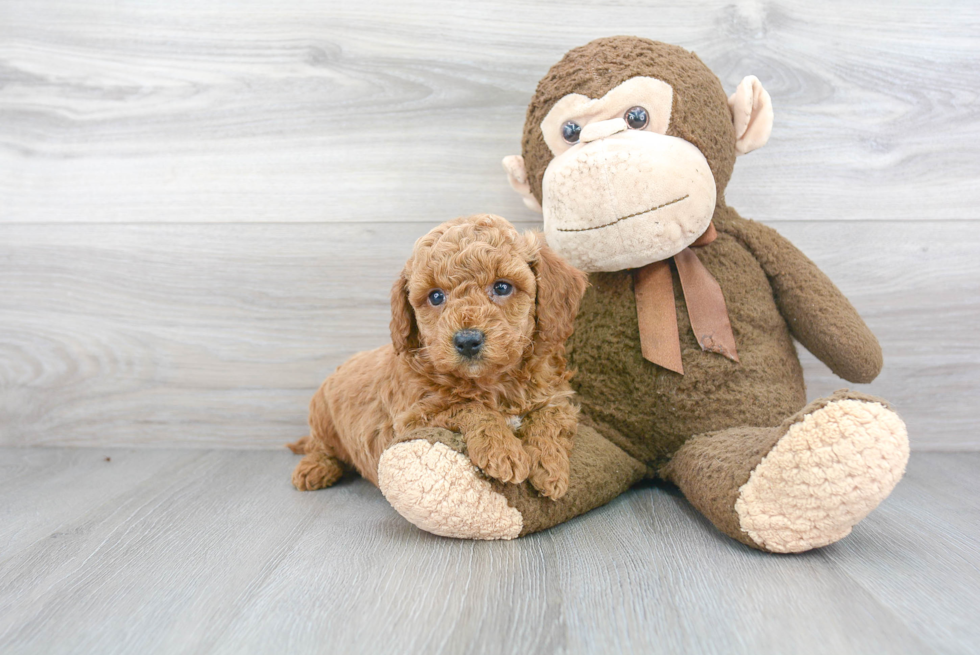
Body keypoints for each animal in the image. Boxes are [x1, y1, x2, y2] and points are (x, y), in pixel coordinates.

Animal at [288, 214, 584, 498]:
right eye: (436, 296)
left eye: (502, 287)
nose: (467, 341)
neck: (493, 382)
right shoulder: (411, 419)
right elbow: (469, 407)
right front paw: (502, 450)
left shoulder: (557, 395)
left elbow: (550, 417)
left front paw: (549, 466)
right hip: (322, 417)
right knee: (321, 447)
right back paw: (314, 468)